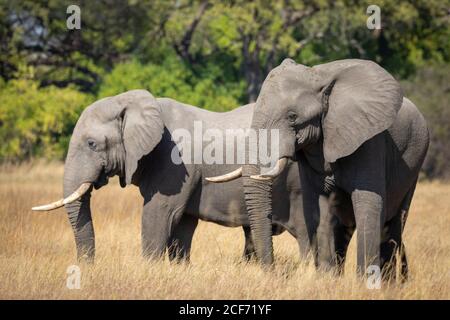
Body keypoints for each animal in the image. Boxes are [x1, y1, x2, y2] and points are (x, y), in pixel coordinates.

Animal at [30, 89, 316, 262]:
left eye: (91, 144)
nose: (87, 268)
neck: (132, 103)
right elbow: (182, 226)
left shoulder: (175, 163)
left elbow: (159, 214)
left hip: (297, 186)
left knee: (304, 232)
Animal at [210, 58, 428, 278]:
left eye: (292, 116)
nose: (270, 270)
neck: (320, 77)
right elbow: (318, 207)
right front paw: (325, 278)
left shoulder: (370, 141)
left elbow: (368, 204)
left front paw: (364, 282)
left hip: (414, 163)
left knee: (393, 223)